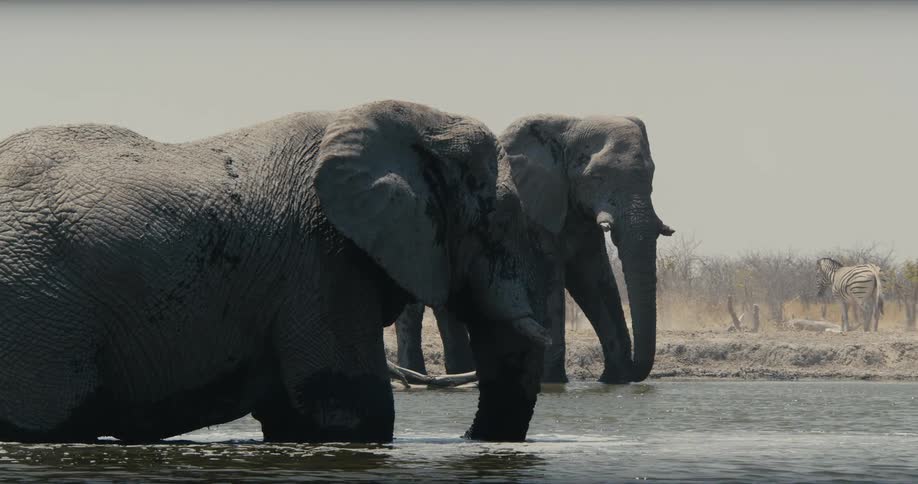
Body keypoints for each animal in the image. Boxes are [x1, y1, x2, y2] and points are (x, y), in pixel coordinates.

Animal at [0, 100, 550, 444]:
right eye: (495, 222)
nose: (467, 439)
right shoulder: (322, 257)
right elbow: (350, 406)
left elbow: (293, 415)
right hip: (36, 307)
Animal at [393, 114, 672, 383]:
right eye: (596, 177)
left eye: (650, 176)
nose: (634, 372)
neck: (569, 129)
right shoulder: (533, 214)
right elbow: (551, 283)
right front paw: (553, 381)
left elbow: (594, 281)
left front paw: (614, 380)